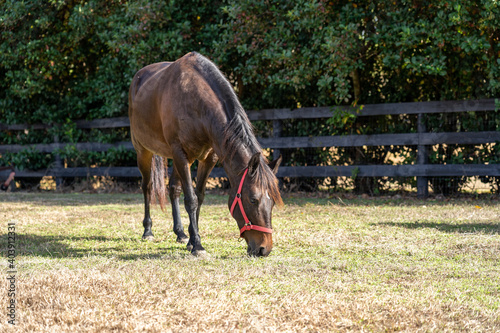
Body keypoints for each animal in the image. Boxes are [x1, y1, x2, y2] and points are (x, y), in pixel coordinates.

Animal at [127, 51, 284, 256]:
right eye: (253, 199)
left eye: (272, 202)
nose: (264, 249)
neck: (196, 103)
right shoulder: (180, 153)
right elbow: (191, 200)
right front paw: (197, 245)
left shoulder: (208, 158)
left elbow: (199, 197)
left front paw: (191, 240)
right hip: (144, 152)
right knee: (147, 187)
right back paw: (148, 231)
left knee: (173, 189)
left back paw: (180, 233)